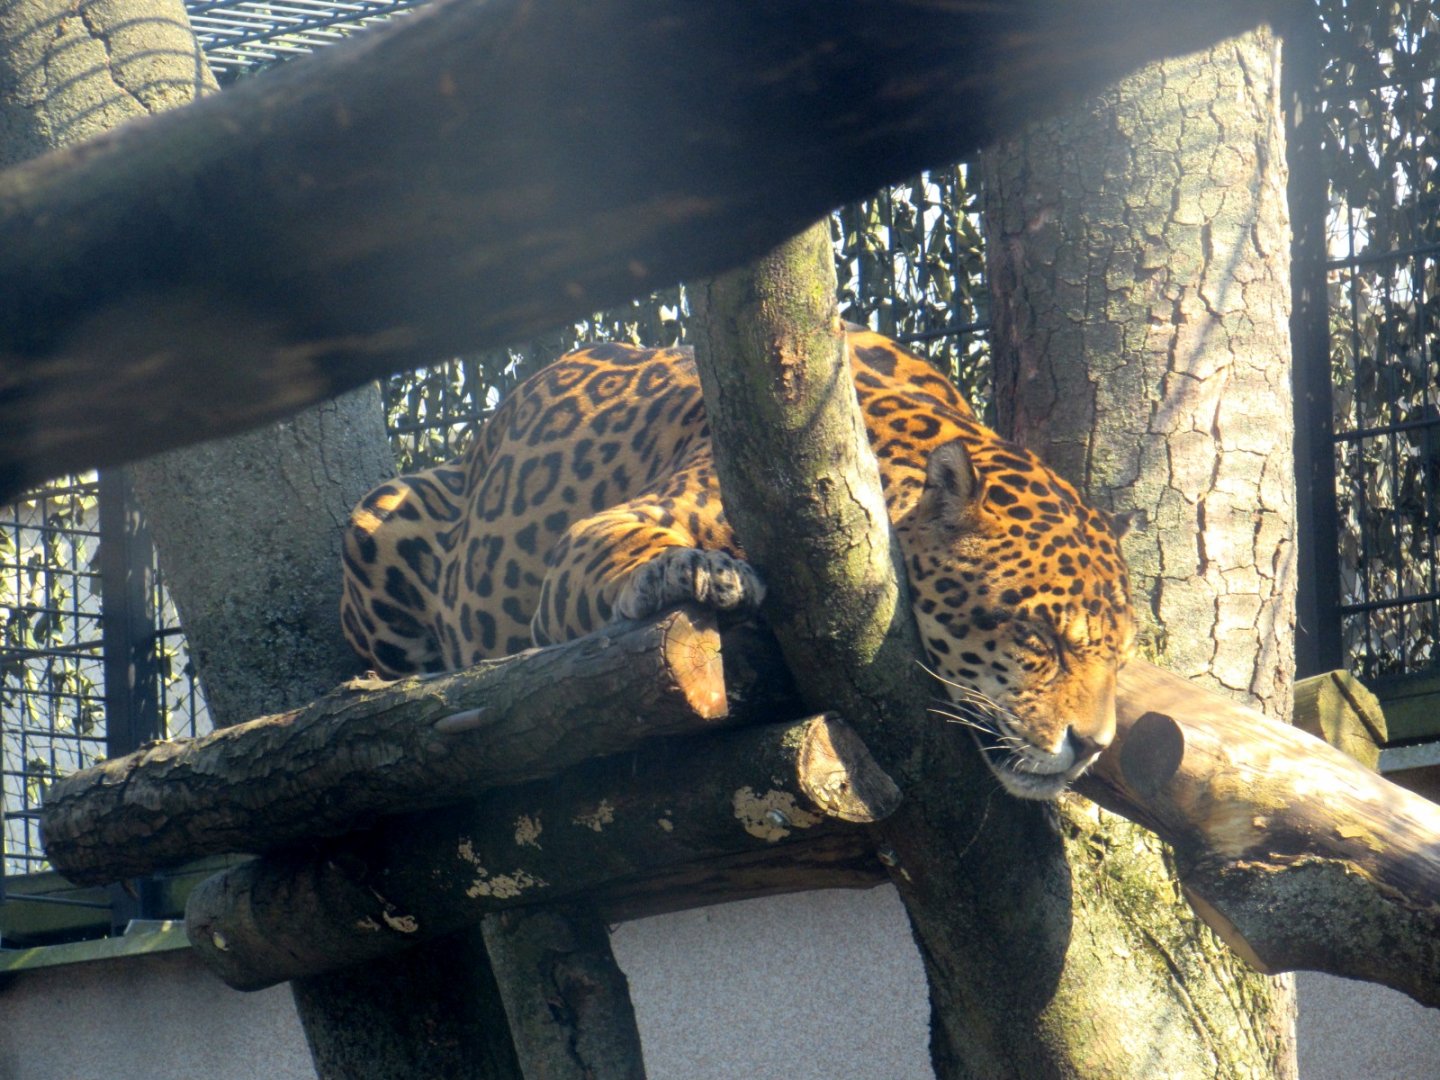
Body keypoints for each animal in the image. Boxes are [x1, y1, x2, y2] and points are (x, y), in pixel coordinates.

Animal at [341, 327, 1136, 799]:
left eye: (1120, 662)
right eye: (1037, 640)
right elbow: (637, 548)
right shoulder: (613, 527)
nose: (1093, 748)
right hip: (380, 511)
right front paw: (695, 570)